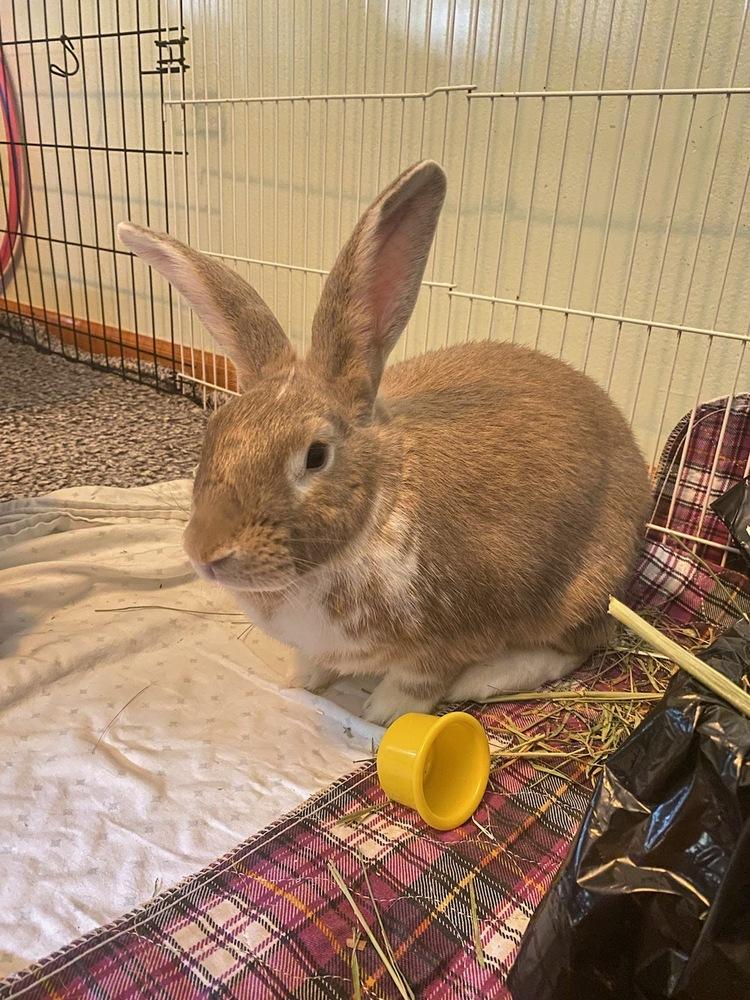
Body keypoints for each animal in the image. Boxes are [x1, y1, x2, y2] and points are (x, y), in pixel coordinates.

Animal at [117, 160, 651, 726]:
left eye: (315, 456)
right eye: (214, 431)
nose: (206, 553)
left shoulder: (448, 640)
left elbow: (414, 685)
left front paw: (379, 712)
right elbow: (314, 664)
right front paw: (299, 683)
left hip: (582, 589)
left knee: (581, 642)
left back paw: (487, 679)